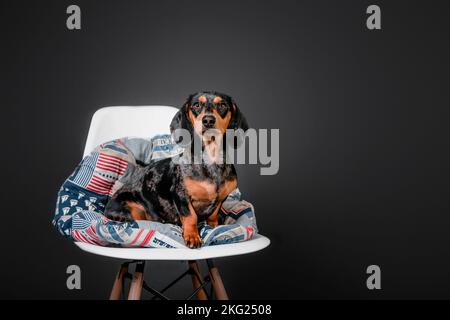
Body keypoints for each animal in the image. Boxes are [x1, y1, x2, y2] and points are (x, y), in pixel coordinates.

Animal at [103, 91, 248, 249]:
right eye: (196, 105)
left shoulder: (221, 199)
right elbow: (190, 216)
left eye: (222, 105)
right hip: (132, 209)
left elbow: (213, 214)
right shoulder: (180, 195)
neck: (211, 160)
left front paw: (213, 227)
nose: (208, 120)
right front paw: (192, 236)